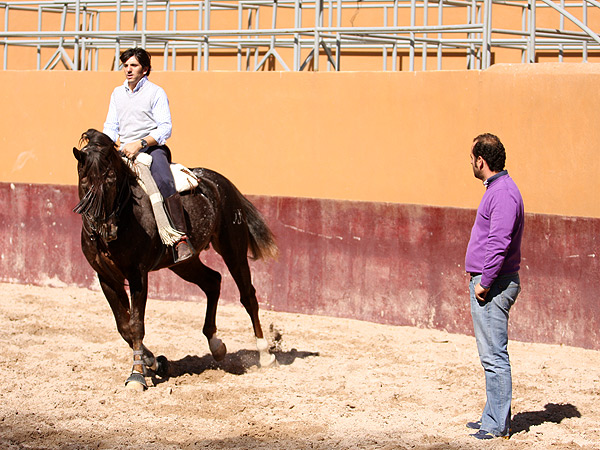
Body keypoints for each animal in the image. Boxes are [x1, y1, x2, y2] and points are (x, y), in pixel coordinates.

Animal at [72, 129, 278, 390]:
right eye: (84, 181)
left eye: (111, 180)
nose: (106, 231)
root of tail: (220, 182)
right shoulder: (107, 278)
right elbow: (124, 326)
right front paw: (155, 362)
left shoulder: (138, 275)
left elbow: (136, 325)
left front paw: (137, 376)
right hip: (184, 263)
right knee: (213, 281)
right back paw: (216, 346)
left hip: (234, 251)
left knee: (247, 296)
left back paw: (265, 355)